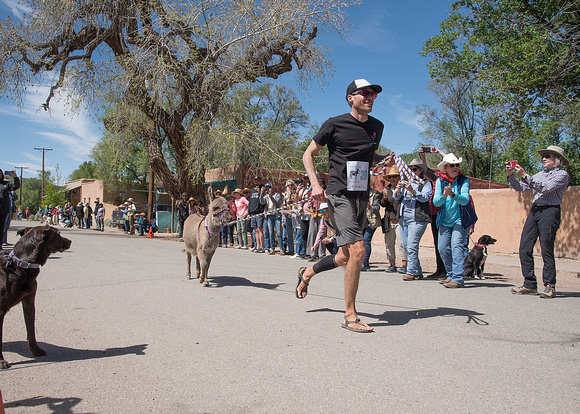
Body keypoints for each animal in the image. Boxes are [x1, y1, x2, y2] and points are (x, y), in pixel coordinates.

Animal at [0, 225, 72, 368]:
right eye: (58, 233)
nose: (70, 241)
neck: (22, 264)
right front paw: (1, 361)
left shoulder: (29, 301)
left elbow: (31, 330)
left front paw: (35, 350)